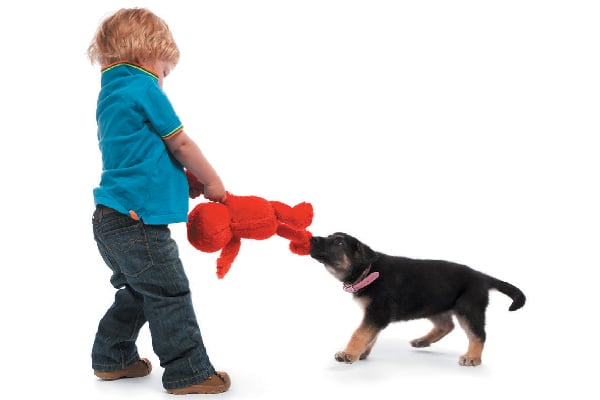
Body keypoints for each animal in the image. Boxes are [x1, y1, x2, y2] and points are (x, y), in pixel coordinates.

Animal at [310, 231, 524, 366]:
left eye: (338, 242)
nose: (312, 238)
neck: (368, 270)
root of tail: (482, 276)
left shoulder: (377, 312)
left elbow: (360, 333)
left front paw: (349, 353)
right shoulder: (374, 315)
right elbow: (370, 334)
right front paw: (361, 352)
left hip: (468, 309)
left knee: (478, 334)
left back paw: (472, 357)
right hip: (434, 305)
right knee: (447, 325)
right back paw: (422, 341)